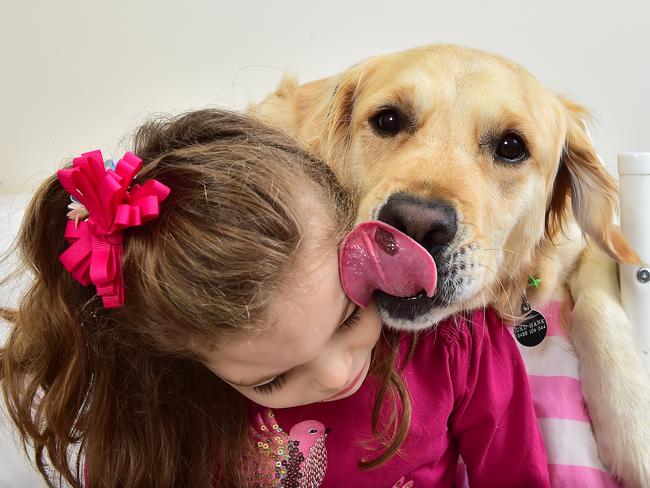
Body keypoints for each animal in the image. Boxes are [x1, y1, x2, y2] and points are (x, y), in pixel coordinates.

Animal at [252, 43, 648, 486]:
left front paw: (631, 427)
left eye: (511, 146)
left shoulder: (582, 245)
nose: (414, 224)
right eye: (388, 119)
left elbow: (599, 292)